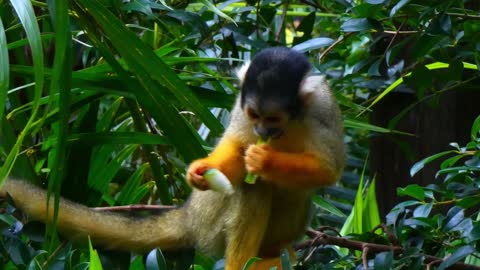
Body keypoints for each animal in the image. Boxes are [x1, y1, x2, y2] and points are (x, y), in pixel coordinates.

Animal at [0, 47, 344, 268]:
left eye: (272, 120)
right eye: (254, 115)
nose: (261, 130)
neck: (290, 123)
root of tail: (191, 216)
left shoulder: (323, 109)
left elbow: (329, 170)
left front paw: (264, 160)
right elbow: (235, 149)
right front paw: (202, 169)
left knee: (294, 192)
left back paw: (272, 251)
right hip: (210, 222)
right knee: (253, 189)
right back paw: (244, 262)